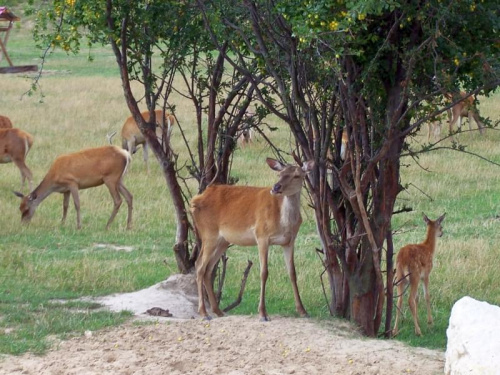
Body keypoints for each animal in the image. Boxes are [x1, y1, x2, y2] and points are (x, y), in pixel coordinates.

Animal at [189, 157, 314, 322]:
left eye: (297, 175)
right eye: (279, 174)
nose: (276, 187)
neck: (284, 222)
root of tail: (195, 200)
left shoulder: (289, 241)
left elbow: (292, 273)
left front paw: (303, 311)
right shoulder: (261, 235)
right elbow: (264, 272)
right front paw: (262, 313)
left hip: (223, 241)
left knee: (209, 269)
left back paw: (218, 311)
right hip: (209, 233)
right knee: (199, 266)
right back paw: (204, 313)